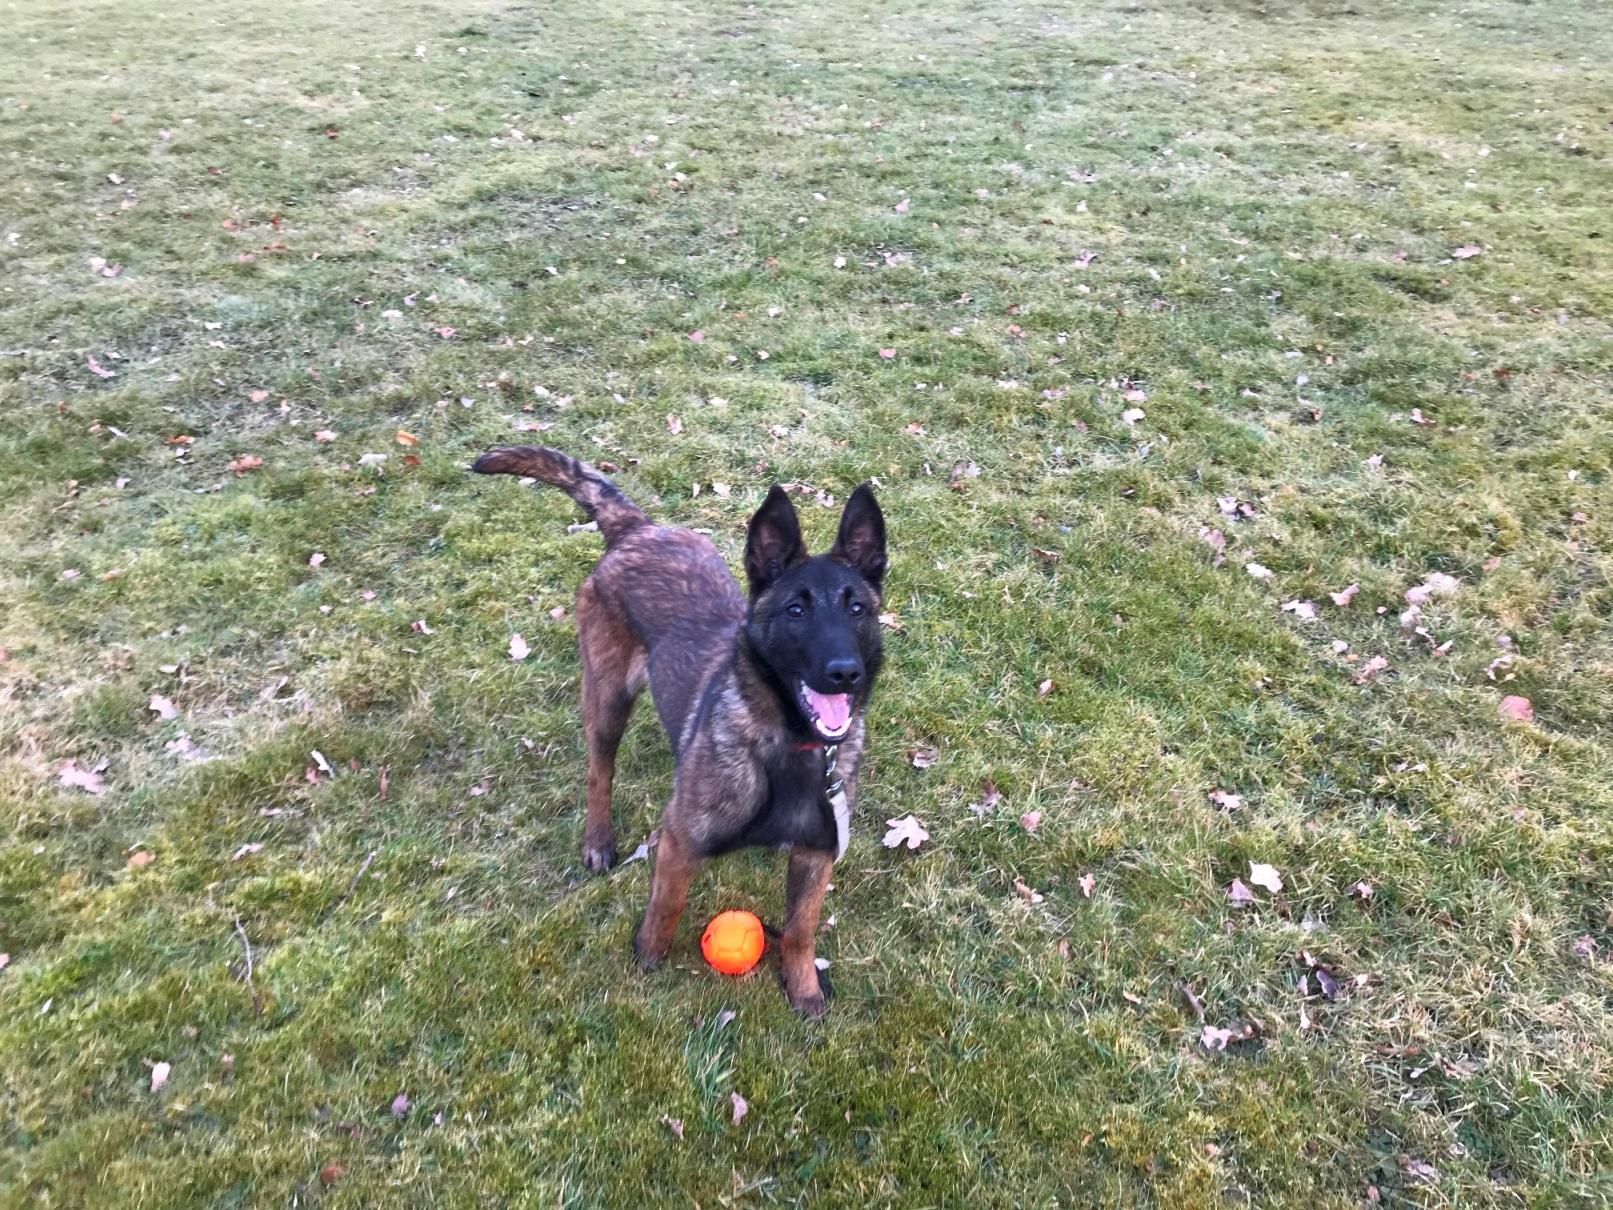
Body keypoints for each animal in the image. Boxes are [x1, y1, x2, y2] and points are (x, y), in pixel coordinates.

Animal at [470, 445, 890, 1013]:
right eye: (796, 610)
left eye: (857, 608)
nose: (845, 672)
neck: (786, 746)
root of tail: (638, 528)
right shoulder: (679, 842)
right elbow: (666, 906)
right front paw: (648, 956)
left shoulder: (816, 855)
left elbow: (801, 931)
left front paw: (802, 988)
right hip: (606, 699)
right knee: (599, 772)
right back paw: (598, 840)